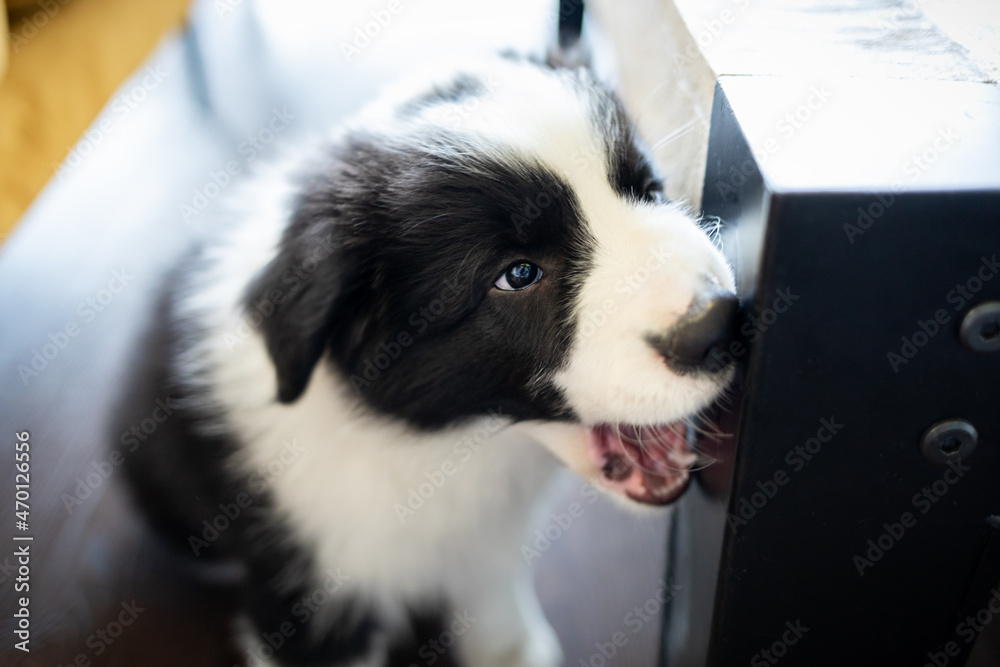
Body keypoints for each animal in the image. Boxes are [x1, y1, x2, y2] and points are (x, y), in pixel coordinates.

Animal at [121, 49, 740, 664]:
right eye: (517, 275)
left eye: (649, 189)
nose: (721, 324)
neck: (445, 450)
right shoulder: (307, 603)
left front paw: (512, 649)